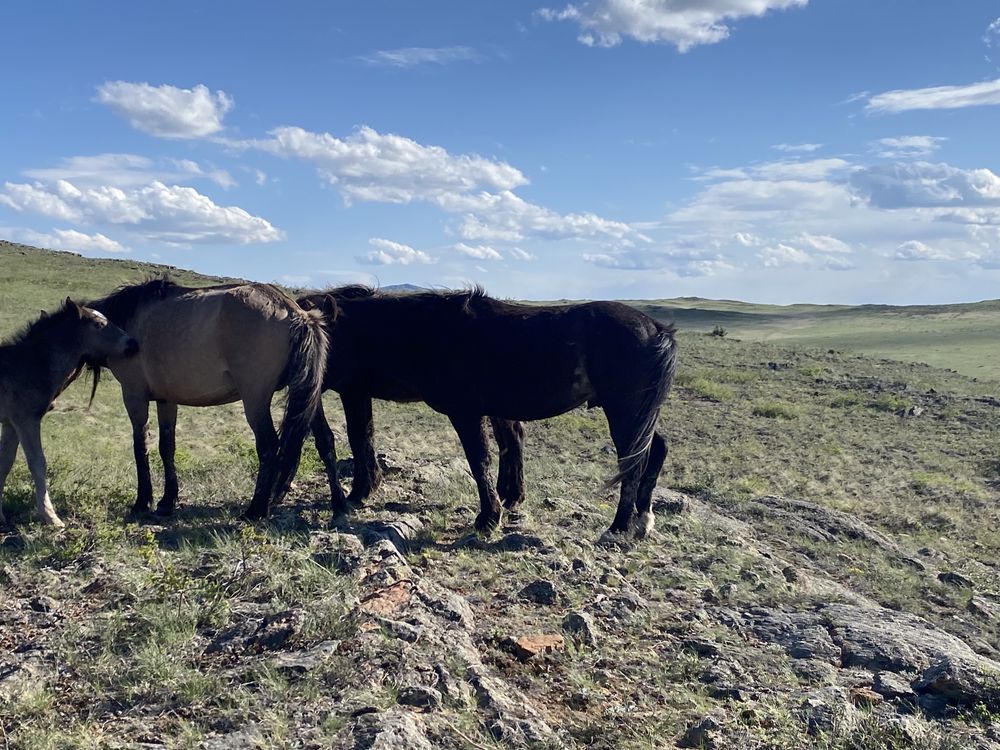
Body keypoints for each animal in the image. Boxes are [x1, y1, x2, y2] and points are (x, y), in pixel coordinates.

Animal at [0, 300, 139, 528]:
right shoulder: (26, 420)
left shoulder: (11, 423)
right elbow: (38, 463)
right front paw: (52, 518)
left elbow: (5, 462)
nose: (133, 344)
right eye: (99, 324)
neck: (30, 365)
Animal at [88, 280, 326, 520]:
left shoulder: (134, 395)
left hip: (255, 401)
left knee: (268, 447)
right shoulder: (166, 400)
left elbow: (141, 447)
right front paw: (167, 501)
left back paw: (255, 510)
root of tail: (293, 311)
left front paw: (142, 502)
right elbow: (167, 447)